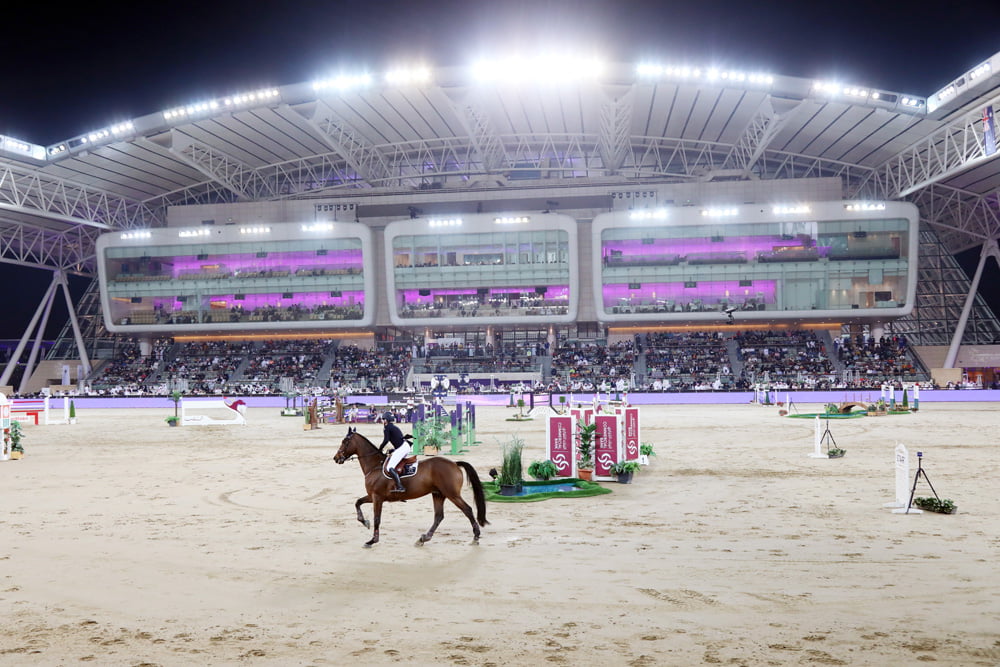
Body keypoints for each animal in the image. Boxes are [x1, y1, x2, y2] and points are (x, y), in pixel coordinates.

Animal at [332, 428, 488, 548]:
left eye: (345, 442)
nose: (336, 458)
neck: (374, 466)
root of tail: (455, 464)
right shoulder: (372, 496)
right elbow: (357, 502)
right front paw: (364, 522)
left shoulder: (377, 497)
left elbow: (377, 519)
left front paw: (372, 541)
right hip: (438, 494)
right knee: (439, 516)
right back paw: (423, 539)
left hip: (452, 494)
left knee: (467, 510)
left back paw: (476, 537)